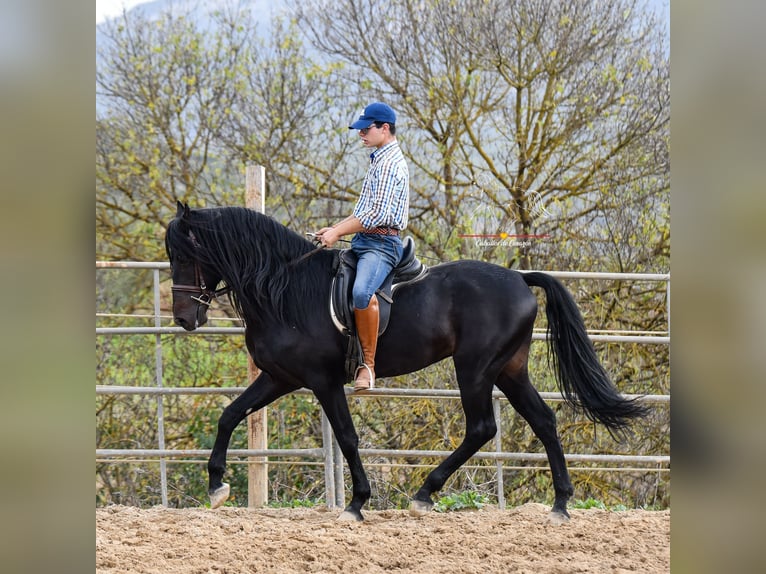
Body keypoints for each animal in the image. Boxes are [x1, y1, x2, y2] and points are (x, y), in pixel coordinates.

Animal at [166, 202, 648, 520]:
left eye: (185, 255)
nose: (184, 318)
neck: (284, 289)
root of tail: (519, 278)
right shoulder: (280, 377)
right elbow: (230, 415)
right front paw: (216, 487)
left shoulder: (322, 381)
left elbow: (348, 437)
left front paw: (357, 503)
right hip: (510, 370)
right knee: (544, 420)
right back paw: (561, 504)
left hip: (475, 369)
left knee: (482, 427)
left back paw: (424, 494)